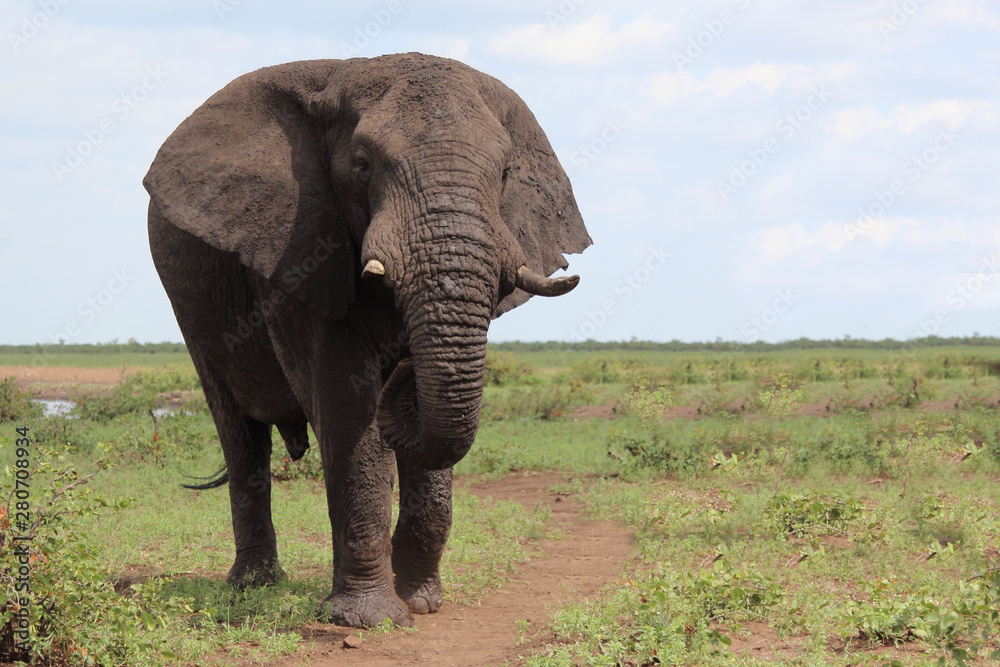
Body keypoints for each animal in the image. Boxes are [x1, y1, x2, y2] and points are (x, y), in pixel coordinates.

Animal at [143, 52, 591, 628]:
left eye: (507, 173)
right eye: (361, 165)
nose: (400, 369)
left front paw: (421, 601)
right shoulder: (298, 246)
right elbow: (347, 405)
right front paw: (370, 619)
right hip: (190, 304)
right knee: (239, 433)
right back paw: (253, 585)